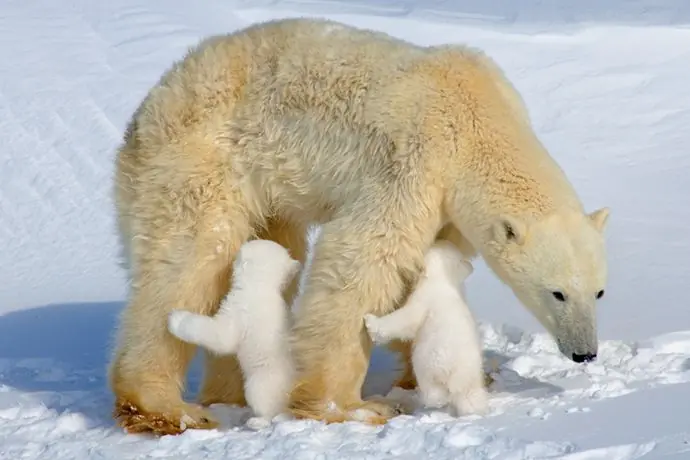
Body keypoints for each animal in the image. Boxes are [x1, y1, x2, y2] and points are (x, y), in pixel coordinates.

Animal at [167, 239, 301, 427]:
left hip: (264, 380)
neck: (259, 289)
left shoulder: (240, 310)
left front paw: (176, 319)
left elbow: (221, 337)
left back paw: (258, 420)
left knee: (266, 401)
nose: (235, 254)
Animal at [364, 240, 489, 417]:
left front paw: (370, 321)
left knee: (434, 391)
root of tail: (454, 374)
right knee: (470, 396)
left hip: (427, 363)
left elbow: (405, 320)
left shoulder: (423, 301)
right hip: (471, 374)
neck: (442, 282)